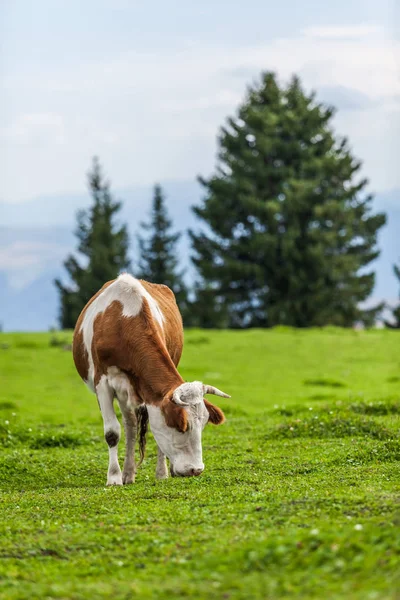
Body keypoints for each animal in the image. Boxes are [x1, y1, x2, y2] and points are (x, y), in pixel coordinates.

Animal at [71, 272, 228, 482]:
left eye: (203, 424)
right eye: (181, 425)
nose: (195, 469)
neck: (123, 323)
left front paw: (162, 473)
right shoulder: (102, 383)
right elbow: (112, 432)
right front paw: (114, 477)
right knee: (130, 426)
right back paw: (127, 474)